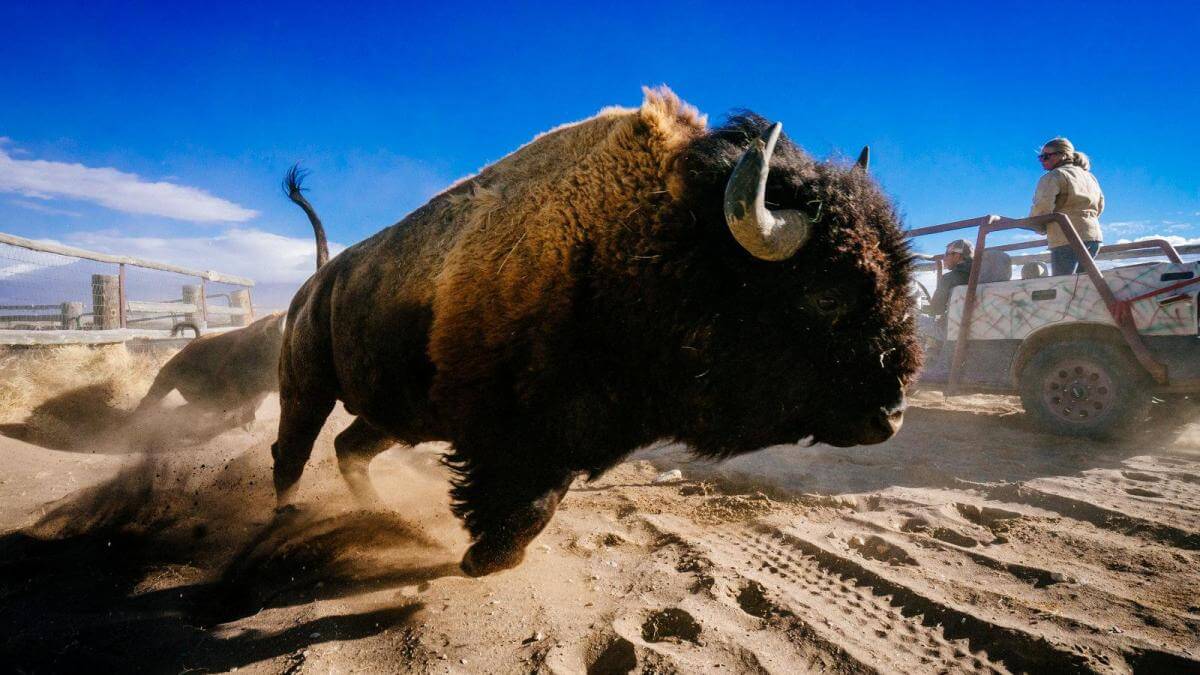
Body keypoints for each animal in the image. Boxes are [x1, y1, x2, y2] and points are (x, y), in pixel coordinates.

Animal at [272, 87, 920, 576]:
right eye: (826, 294)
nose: (891, 416)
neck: (658, 239)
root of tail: (317, 284)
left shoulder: (565, 435)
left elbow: (538, 505)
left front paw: (478, 554)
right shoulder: (514, 434)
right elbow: (526, 505)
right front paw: (479, 558)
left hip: (394, 414)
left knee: (348, 447)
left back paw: (382, 517)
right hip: (306, 388)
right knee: (292, 453)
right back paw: (286, 522)